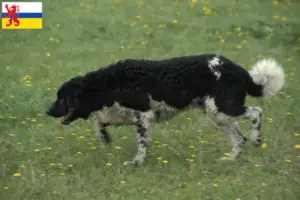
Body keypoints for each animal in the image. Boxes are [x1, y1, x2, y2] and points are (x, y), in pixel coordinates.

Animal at [45, 54, 284, 165]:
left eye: (60, 98)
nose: (47, 110)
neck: (107, 84)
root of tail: (241, 72)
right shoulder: (121, 115)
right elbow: (98, 123)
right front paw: (104, 139)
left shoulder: (143, 117)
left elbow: (142, 144)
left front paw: (137, 163)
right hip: (217, 115)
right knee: (239, 138)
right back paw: (230, 159)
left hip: (221, 108)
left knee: (256, 112)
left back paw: (256, 139)